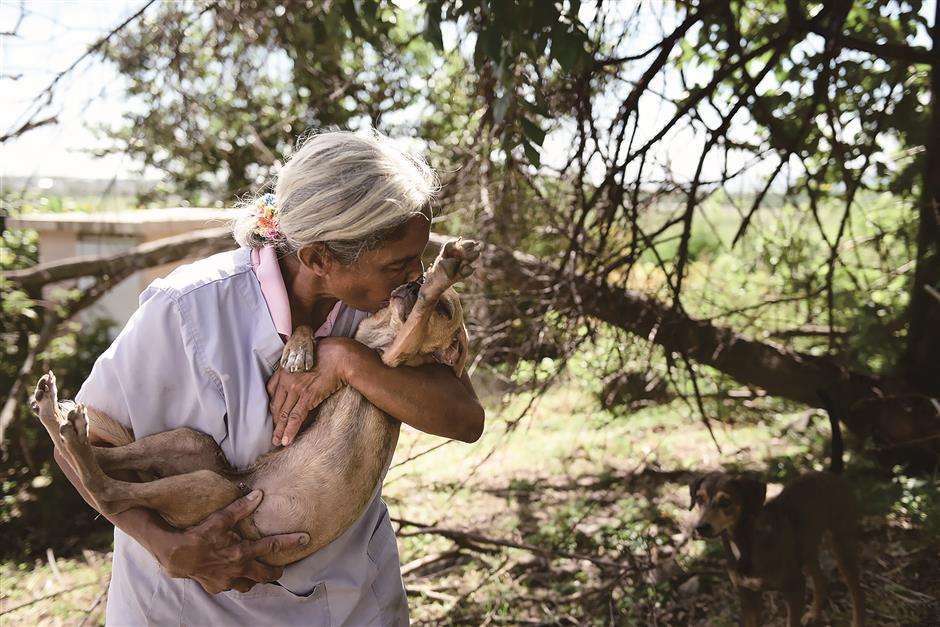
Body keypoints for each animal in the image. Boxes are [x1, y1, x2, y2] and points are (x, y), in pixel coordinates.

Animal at [688, 392, 864, 627]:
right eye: (699, 499)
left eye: (725, 502)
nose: (701, 527)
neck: (746, 543)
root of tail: (832, 473)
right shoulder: (748, 596)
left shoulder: (794, 588)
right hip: (808, 547)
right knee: (821, 580)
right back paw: (814, 614)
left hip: (842, 543)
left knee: (857, 592)